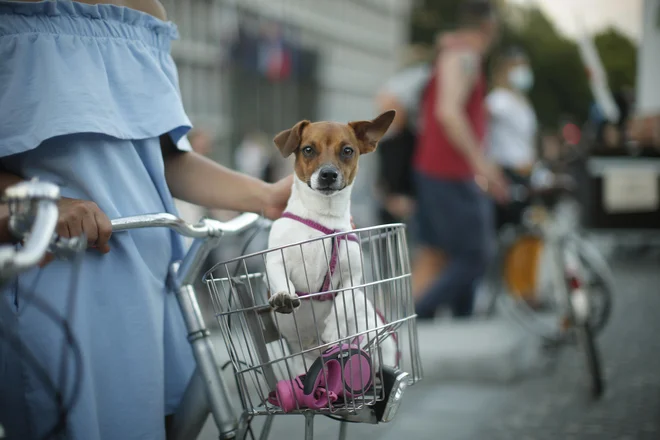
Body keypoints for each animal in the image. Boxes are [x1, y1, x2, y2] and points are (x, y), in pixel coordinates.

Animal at [266, 109, 400, 374]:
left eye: (347, 150)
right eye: (308, 149)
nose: (328, 174)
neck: (322, 217)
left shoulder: (352, 278)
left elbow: (341, 304)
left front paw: (331, 331)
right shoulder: (275, 259)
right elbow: (280, 279)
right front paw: (283, 295)